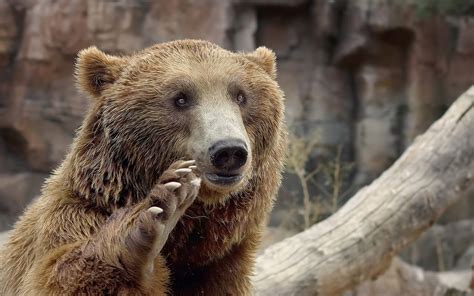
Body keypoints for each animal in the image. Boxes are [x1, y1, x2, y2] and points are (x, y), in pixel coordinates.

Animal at [0, 40, 286, 296]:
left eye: (241, 95)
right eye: (180, 98)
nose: (228, 151)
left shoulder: (224, 263)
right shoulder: (70, 218)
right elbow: (59, 276)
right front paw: (157, 213)